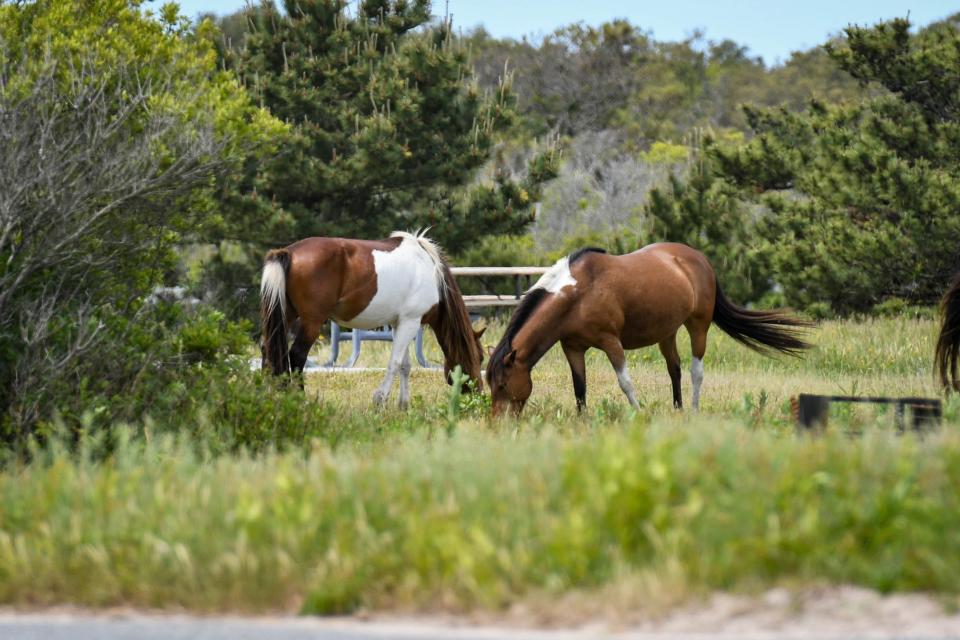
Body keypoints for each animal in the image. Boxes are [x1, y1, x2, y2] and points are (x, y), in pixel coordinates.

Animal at [258, 232, 484, 408]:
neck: (429, 271)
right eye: (480, 358)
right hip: (311, 322)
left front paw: (404, 405)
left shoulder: (399, 323)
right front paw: (381, 399)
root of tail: (288, 252)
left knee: (267, 349)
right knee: (296, 355)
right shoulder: (411, 321)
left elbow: (405, 365)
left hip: (285, 315)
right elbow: (394, 363)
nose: (479, 392)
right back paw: (299, 401)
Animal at [488, 242, 808, 418]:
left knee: (696, 371)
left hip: (698, 325)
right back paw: (678, 409)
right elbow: (579, 388)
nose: (498, 423)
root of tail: (699, 258)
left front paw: (638, 413)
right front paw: (582, 420)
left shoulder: (611, 342)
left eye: (502, 385)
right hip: (667, 332)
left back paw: (693, 410)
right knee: (674, 369)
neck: (578, 292)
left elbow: (625, 382)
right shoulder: (572, 347)